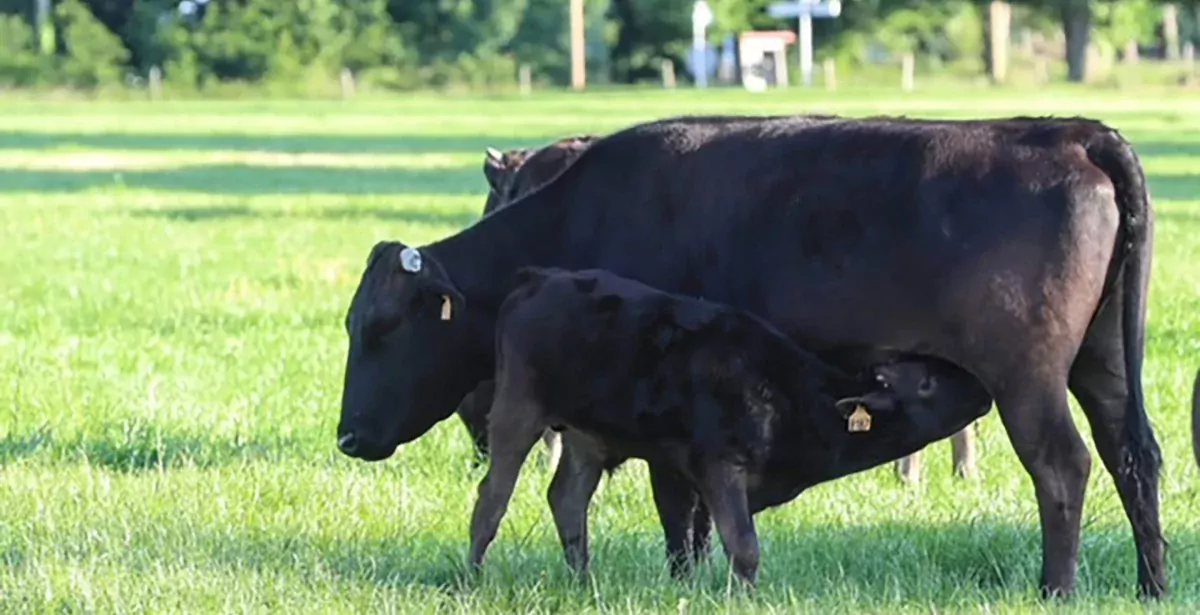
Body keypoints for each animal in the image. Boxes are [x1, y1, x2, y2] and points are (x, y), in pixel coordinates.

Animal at [338, 114, 1161, 595]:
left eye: (382, 327)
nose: (348, 436)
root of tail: (1069, 133)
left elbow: (679, 505)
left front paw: (685, 580)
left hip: (1029, 379)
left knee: (1063, 466)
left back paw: (1057, 588)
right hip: (1102, 362)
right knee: (1132, 454)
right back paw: (1151, 582)